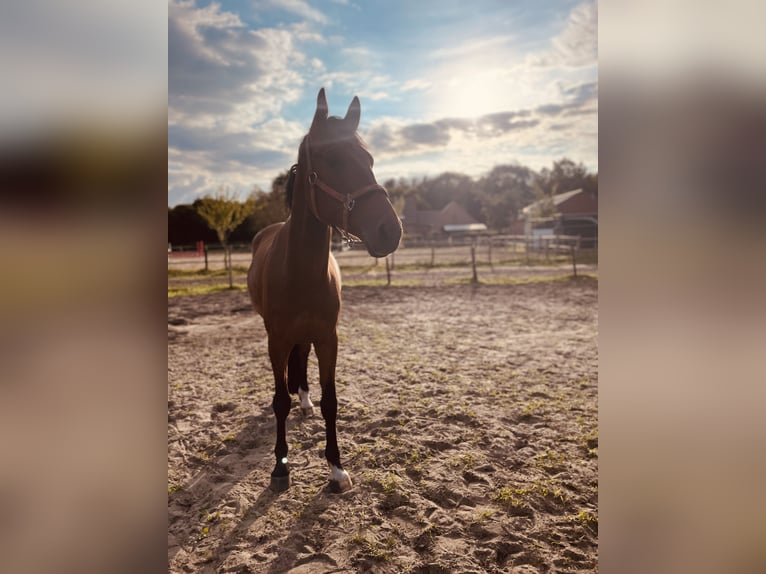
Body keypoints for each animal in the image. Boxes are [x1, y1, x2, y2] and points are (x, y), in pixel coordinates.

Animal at [249, 88, 404, 492]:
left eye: (369, 159)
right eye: (333, 159)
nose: (390, 230)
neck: (300, 271)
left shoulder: (328, 337)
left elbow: (331, 400)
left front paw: (336, 467)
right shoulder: (276, 340)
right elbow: (279, 402)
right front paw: (280, 467)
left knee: (302, 362)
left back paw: (304, 401)